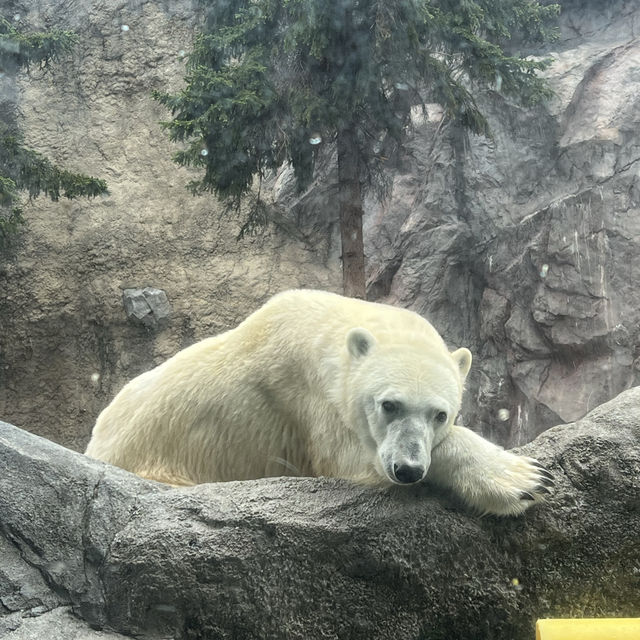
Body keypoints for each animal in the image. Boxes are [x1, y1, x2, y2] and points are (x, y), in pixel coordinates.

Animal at [85, 290, 552, 516]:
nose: (408, 469)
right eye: (389, 405)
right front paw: (524, 479)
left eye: (441, 414)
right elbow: (353, 460)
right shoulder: (307, 397)